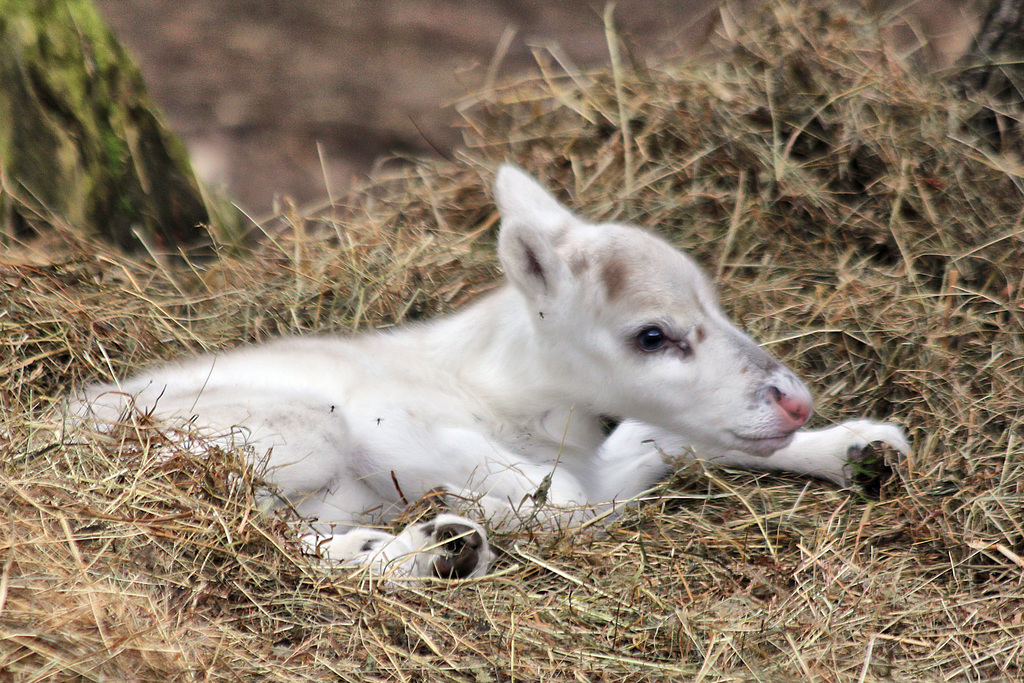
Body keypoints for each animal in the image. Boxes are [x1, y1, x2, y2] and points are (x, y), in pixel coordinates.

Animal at [74, 165, 905, 581]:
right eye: (653, 334)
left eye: (718, 304)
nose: (796, 403)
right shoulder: (391, 423)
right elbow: (576, 504)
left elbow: (665, 441)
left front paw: (862, 449)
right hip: (297, 427)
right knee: (257, 527)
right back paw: (429, 548)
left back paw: (430, 547)